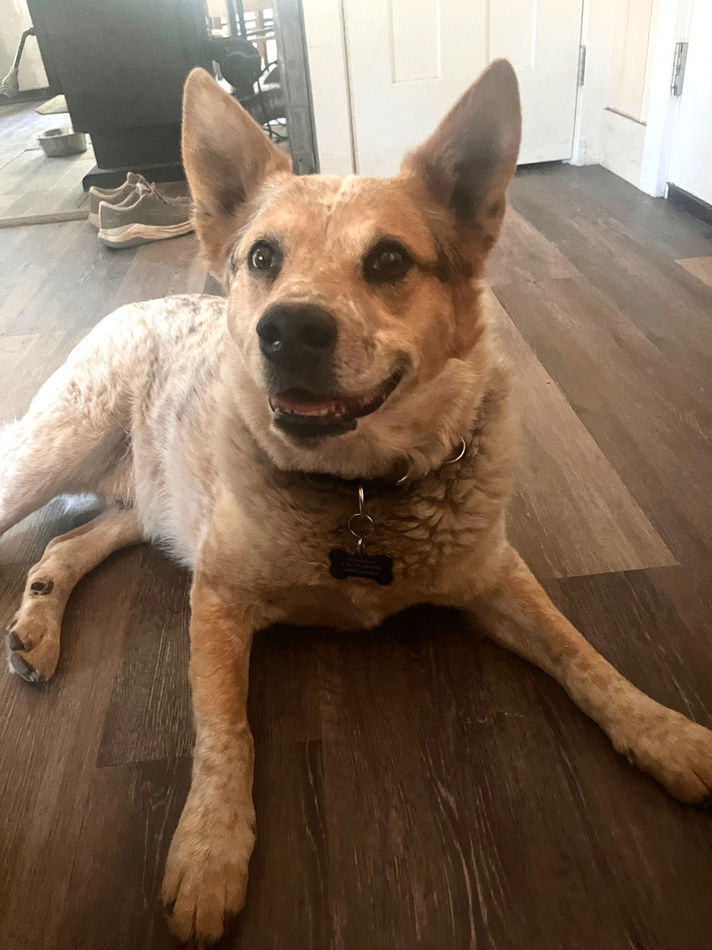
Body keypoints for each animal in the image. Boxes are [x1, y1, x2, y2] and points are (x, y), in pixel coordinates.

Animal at [2, 60, 711, 945]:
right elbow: (224, 732)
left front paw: (665, 733)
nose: (287, 330)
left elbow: (584, 654)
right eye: (263, 256)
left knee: (66, 545)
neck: (361, 491)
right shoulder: (219, 597)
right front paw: (210, 848)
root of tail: (134, 304)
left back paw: (35, 626)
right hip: (56, 448)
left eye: (388, 261)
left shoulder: (496, 578)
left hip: (150, 504)